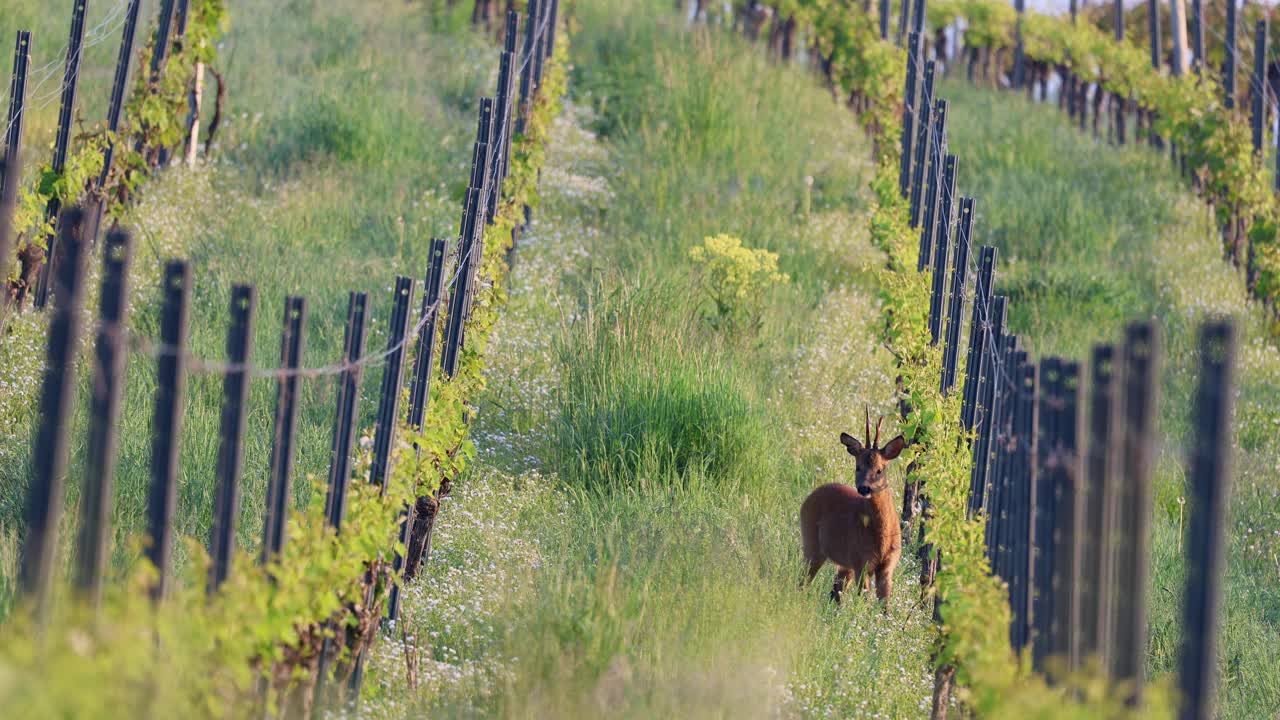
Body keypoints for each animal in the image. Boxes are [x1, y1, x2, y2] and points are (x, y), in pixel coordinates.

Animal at [798, 409, 911, 599]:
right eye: (858, 467)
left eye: (880, 470)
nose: (864, 488)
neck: (881, 539)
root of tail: (811, 496)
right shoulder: (861, 562)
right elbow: (863, 600)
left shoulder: (887, 566)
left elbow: (884, 603)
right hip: (812, 544)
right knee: (803, 581)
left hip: (844, 564)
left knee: (835, 592)